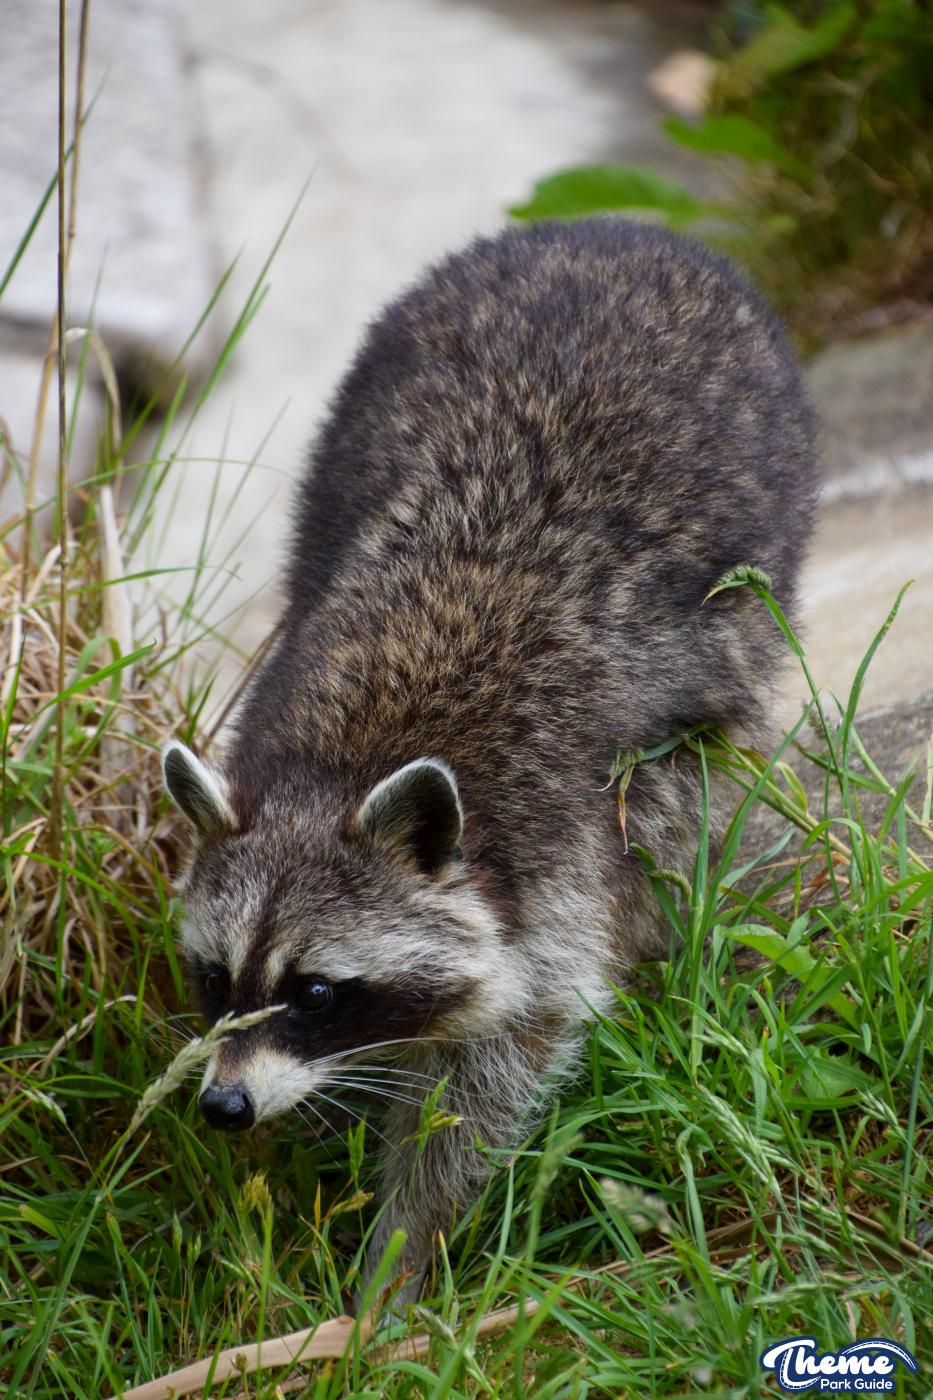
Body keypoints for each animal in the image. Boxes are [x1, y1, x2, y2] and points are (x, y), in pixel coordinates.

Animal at [162, 218, 815, 1293]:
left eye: (316, 992)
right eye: (217, 979)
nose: (223, 1108)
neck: (345, 766)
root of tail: (606, 230)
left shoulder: (564, 854)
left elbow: (497, 1069)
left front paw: (398, 1256)